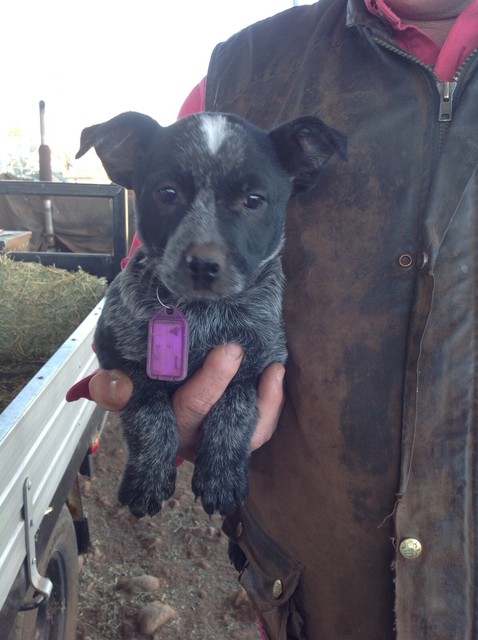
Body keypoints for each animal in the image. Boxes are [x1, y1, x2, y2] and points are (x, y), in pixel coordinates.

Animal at [75, 111, 348, 516]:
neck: (201, 314)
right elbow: (149, 409)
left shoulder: (261, 360)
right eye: (167, 193)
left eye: (253, 200)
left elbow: (235, 409)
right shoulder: (116, 353)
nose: (204, 265)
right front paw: (148, 478)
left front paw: (222, 476)